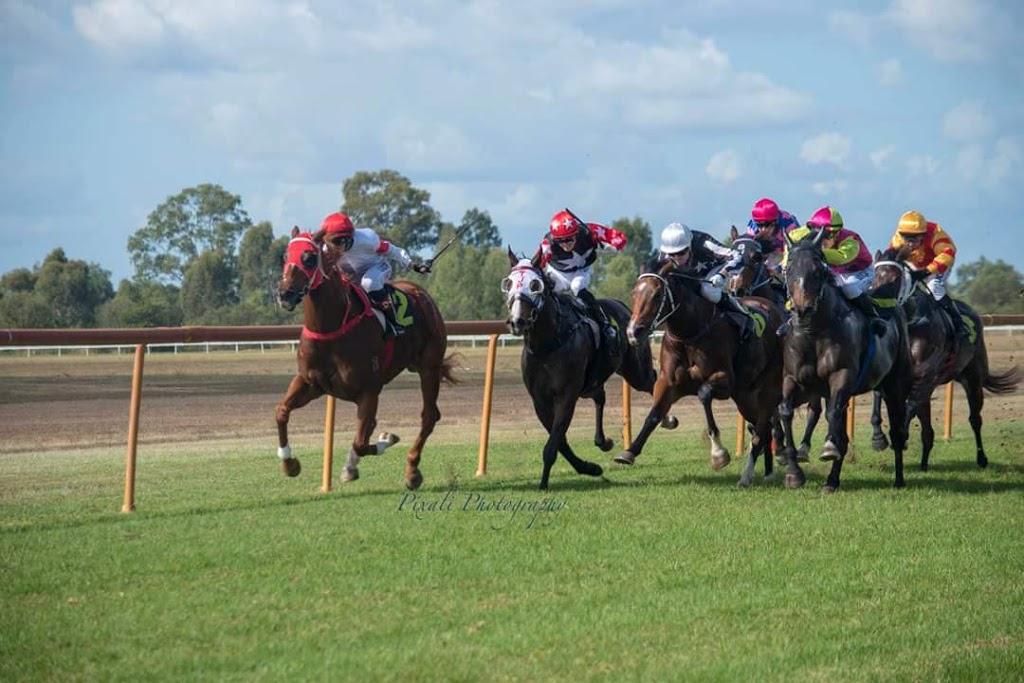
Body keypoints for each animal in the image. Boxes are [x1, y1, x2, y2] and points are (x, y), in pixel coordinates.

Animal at [276, 229, 460, 491]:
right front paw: (289, 463)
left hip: (429, 367)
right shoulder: (311, 383)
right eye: (284, 255)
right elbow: (281, 411)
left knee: (429, 416)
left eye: (309, 258)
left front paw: (387, 438)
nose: (285, 294)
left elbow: (361, 442)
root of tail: (421, 292)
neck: (332, 328)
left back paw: (412, 471)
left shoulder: (369, 389)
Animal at [499, 250, 675, 491]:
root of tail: (623, 306)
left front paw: (544, 482)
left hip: (635, 371)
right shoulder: (540, 401)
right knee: (600, 396)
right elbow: (559, 442)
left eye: (535, 285)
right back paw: (603, 441)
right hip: (592, 382)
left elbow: (553, 443)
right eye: (508, 284)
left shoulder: (567, 396)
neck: (548, 344)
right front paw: (589, 468)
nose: (517, 321)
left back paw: (667, 419)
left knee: (652, 380)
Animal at [614, 255, 782, 485]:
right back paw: (766, 472)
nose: (633, 332)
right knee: (761, 428)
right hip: (745, 397)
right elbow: (654, 414)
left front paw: (718, 453)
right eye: (634, 292)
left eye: (657, 294)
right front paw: (629, 452)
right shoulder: (668, 383)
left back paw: (749, 475)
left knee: (764, 427)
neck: (689, 335)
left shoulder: (725, 381)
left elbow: (703, 393)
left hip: (764, 389)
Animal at [778, 229, 917, 491]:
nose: (803, 309)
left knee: (896, 431)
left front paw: (828, 448)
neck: (814, 332)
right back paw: (832, 481)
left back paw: (899, 479)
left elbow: (833, 416)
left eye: (819, 270)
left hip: (895, 385)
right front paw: (793, 473)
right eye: (788, 269)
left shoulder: (841, 375)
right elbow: (785, 412)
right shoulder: (792, 379)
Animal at [868, 248, 1019, 473]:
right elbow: (879, 399)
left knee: (975, 419)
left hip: (972, 379)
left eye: (894, 278)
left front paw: (900, 436)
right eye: (874, 277)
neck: (912, 322)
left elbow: (908, 407)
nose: (879, 309)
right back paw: (923, 464)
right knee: (927, 430)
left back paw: (982, 459)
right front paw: (878, 438)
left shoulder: (924, 375)